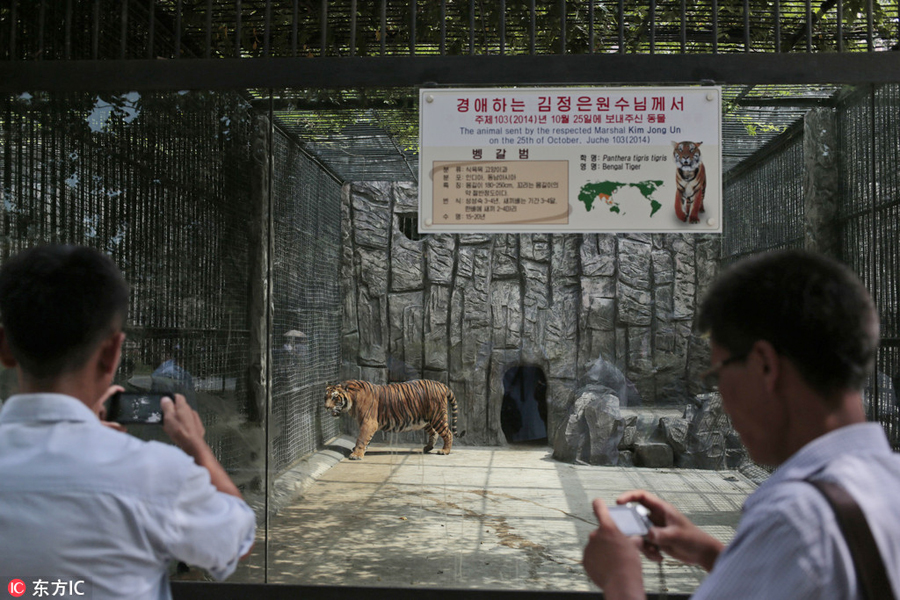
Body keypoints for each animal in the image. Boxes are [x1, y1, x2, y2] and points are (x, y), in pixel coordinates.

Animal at [326, 380, 458, 460]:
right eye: (325, 397)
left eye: (335, 397)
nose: (326, 407)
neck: (351, 402)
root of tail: (442, 385)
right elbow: (366, 439)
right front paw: (361, 450)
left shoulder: (369, 422)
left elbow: (362, 438)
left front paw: (356, 455)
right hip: (425, 420)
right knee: (434, 433)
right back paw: (427, 448)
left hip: (437, 417)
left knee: (448, 433)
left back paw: (444, 451)